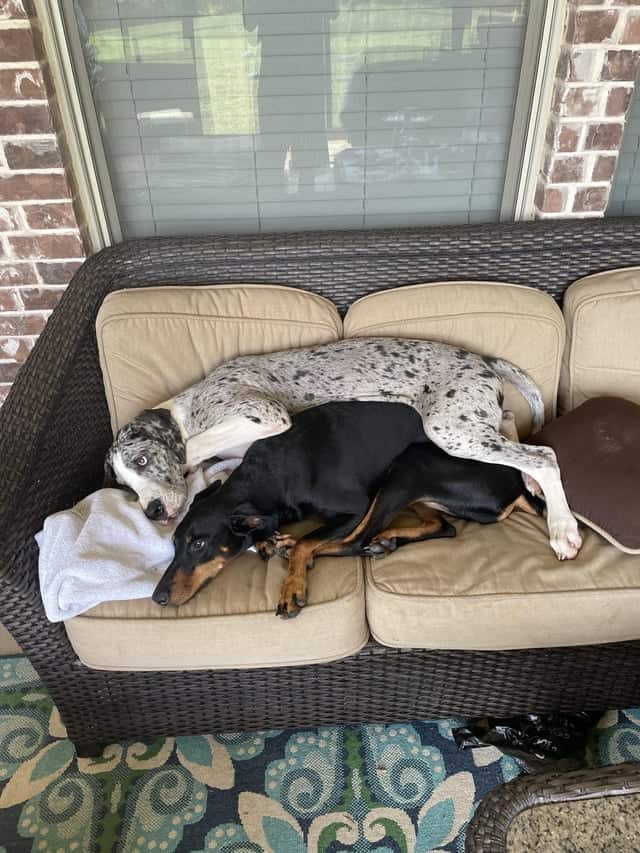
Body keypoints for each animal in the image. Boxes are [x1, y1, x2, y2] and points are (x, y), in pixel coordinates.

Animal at [104, 336, 580, 564]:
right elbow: (213, 470)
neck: (190, 408)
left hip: (450, 428)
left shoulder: (263, 416)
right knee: (514, 428)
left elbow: (192, 449)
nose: (151, 511)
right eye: (125, 489)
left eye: (142, 460)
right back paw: (532, 487)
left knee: (545, 455)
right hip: (474, 423)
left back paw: (562, 527)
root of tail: (480, 358)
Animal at [154, 400, 540, 612]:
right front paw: (269, 540)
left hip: (409, 466)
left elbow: (309, 541)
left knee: (355, 540)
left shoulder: (354, 507)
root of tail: (517, 485)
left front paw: (292, 583)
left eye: (199, 543)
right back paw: (387, 540)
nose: (157, 597)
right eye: (174, 543)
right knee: (441, 527)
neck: (269, 475)